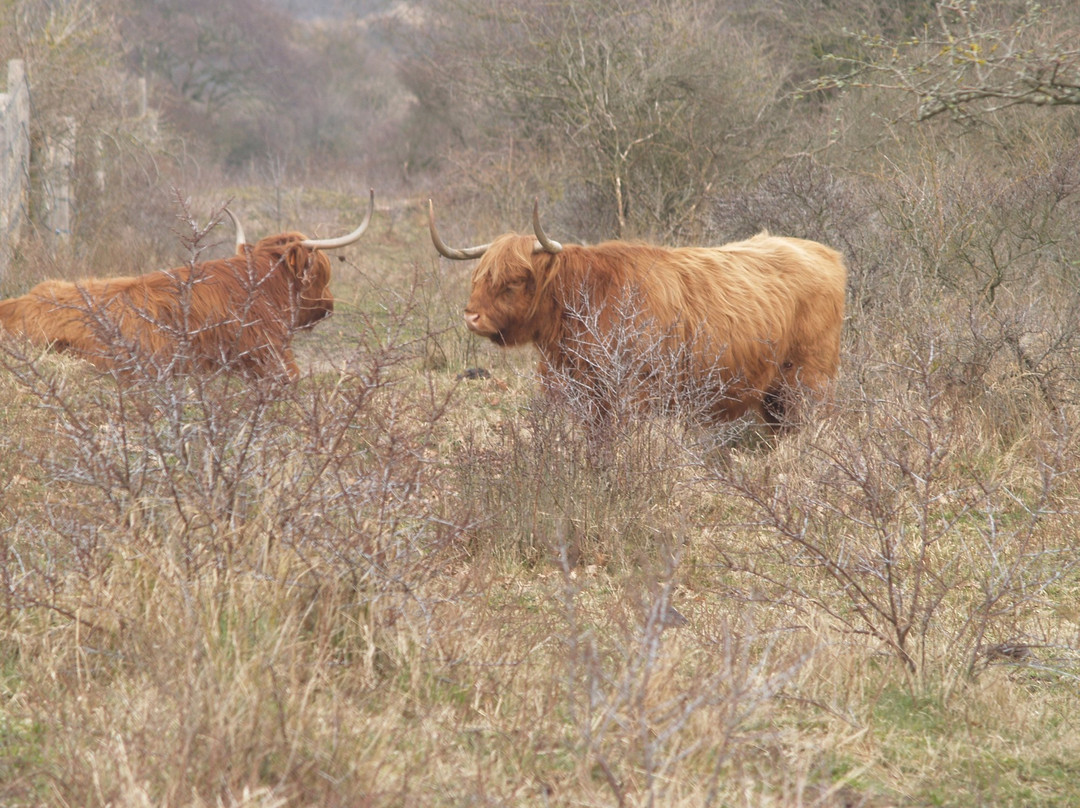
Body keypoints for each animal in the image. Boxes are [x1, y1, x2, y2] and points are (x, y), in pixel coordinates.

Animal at [427, 199, 842, 432]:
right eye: (478, 277)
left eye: (513, 281)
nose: (471, 317)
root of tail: (825, 252)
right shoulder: (588, 396)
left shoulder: (633, 393)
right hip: (774, 393)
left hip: (809, 379)